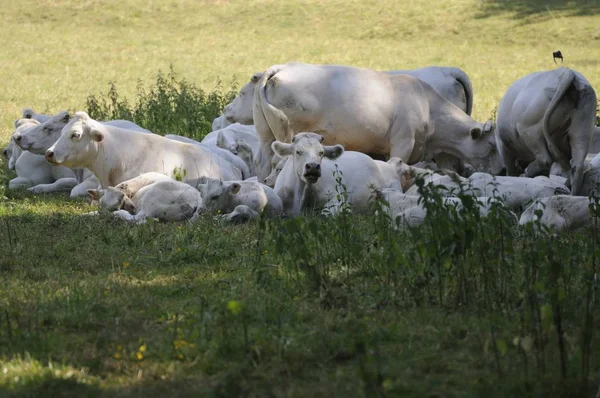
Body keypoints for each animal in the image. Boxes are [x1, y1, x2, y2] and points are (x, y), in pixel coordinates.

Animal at [252, 62, 502, 182]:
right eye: (491, 145)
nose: (503, 170)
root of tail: (280, 68)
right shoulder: (402, 142)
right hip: (289, 135)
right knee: (279, 164)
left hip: (265, 136)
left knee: (264, 163)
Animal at [494, 68, 596, 196]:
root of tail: (567, 72)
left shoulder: (503, 146)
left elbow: (510, 168)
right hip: (583, 127)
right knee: (577, 164)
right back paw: (571, 192)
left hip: (530, 129)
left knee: (545, 159)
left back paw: (530, 171)